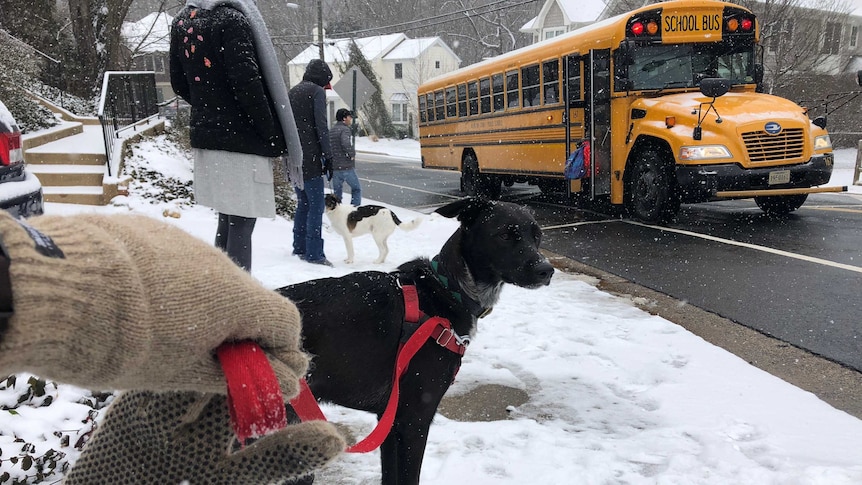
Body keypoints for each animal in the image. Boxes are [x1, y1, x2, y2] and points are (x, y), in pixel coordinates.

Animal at [280, 197, 556, 484]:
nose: (546, 270)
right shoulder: (414, 420)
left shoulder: (389, 421)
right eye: (504, 235)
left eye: (537, 236)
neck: (448, 290)